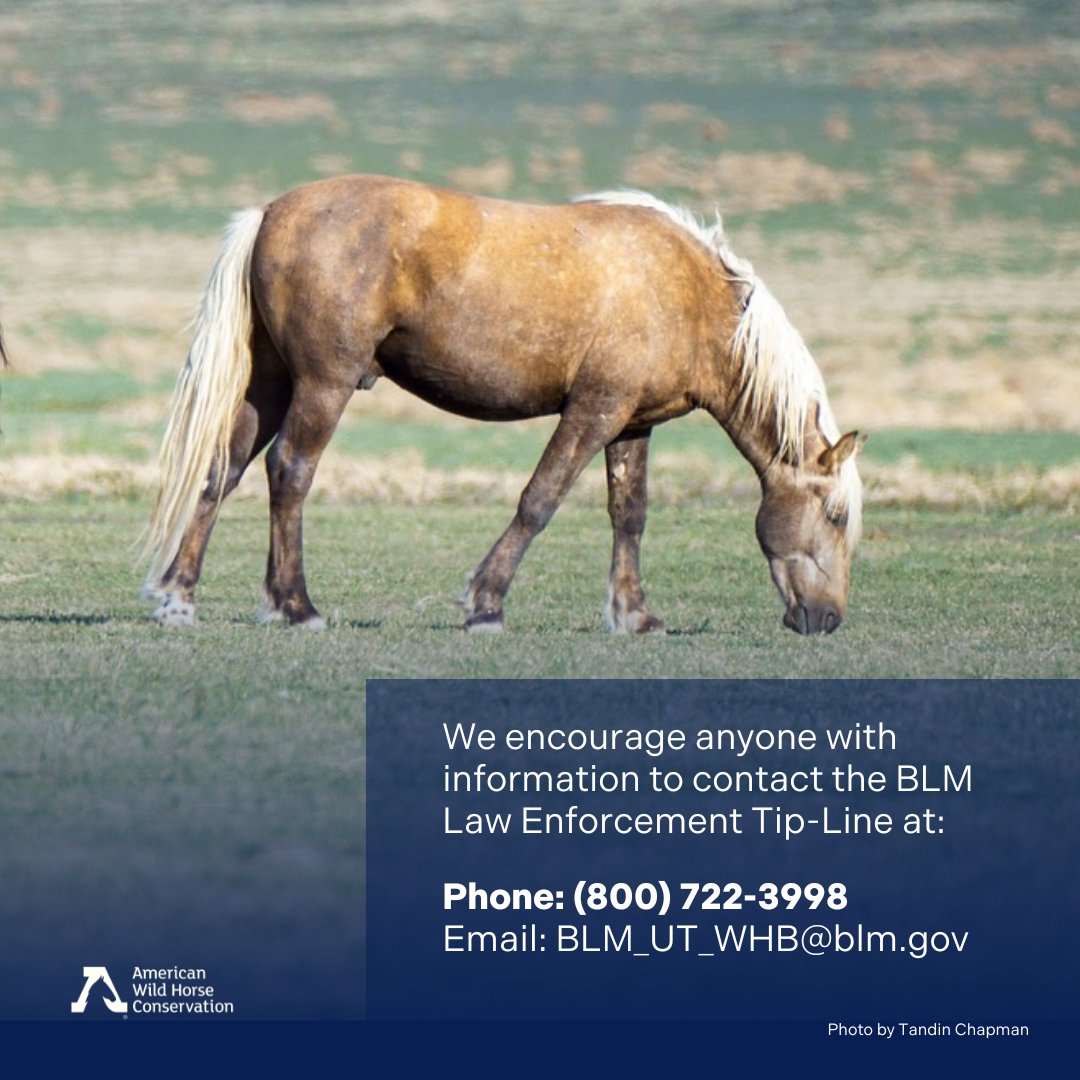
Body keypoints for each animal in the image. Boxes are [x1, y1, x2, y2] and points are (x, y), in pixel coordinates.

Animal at [142, 174, 863, 636]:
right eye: (833, 513)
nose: (827, 619)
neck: (688, 293)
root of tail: (270, 212)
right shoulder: (592, 411)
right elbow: (538, 501)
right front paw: (485, 604)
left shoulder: (632, 424)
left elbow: (629, 516)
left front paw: (635, 616)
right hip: (323, 383)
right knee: (289, 471)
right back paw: (296, 606)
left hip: (270, 383)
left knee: (222, 471)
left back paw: (179, 598)